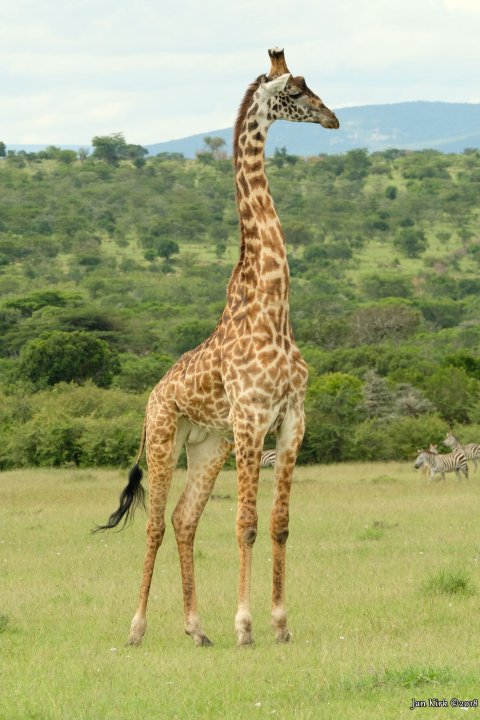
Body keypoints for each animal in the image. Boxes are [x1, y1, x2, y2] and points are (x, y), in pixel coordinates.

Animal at [96, 47, 338, 648]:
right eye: (295, 90)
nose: (332, 118)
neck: (274, 311)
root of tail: (153, 395)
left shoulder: (292, 420)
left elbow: (279, 525)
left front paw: (280, 625)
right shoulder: (252, 419)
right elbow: (246, 525)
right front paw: (246, 626)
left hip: (208, 444)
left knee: (185, 519)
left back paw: (196, 628)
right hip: (165, 437)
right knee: (155, 523)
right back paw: (136, 629)